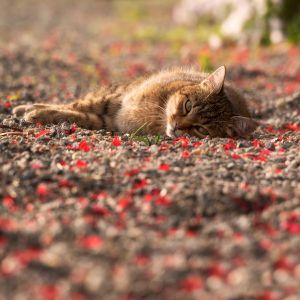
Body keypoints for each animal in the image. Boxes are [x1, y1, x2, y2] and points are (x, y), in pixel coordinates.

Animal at [12, 65, 258, 138]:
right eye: (188, 105)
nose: (178, 126)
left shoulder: (110, 121)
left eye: (201, 129)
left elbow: (81, 116)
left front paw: (39, 113)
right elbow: (76, 106)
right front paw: (34, 109)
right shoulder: (116, 99)